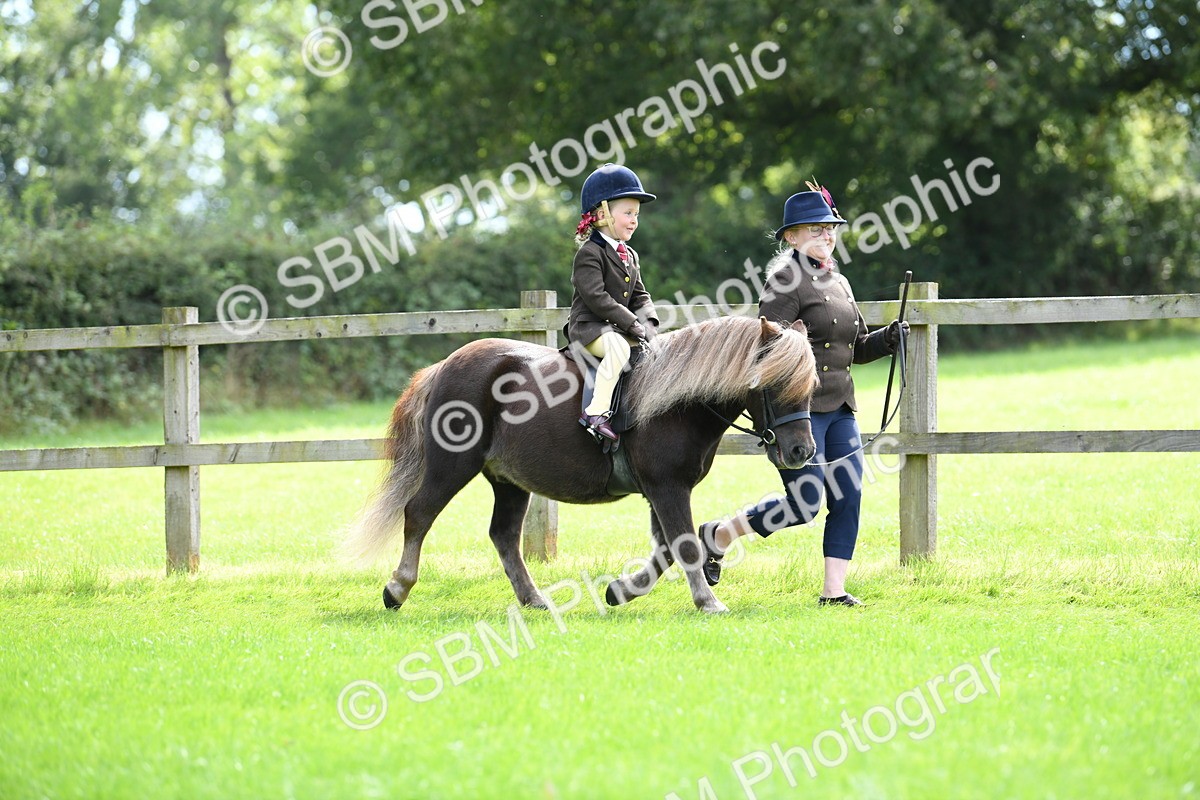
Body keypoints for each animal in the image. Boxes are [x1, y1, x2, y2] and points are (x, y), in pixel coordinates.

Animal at [345, 315, 818, 614]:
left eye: (811, 385)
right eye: (775, 382)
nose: (802, 453)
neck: (676, 402)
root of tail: (445, 365)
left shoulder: (660, 491)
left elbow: (667, 549)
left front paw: (622, 590)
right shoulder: (668, 488)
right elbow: (683, 545)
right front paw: (709, 602)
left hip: (508, 481)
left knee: (504, 536)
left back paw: (534, 599)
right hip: (452, 466)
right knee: (419, 514)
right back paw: (397, 588)